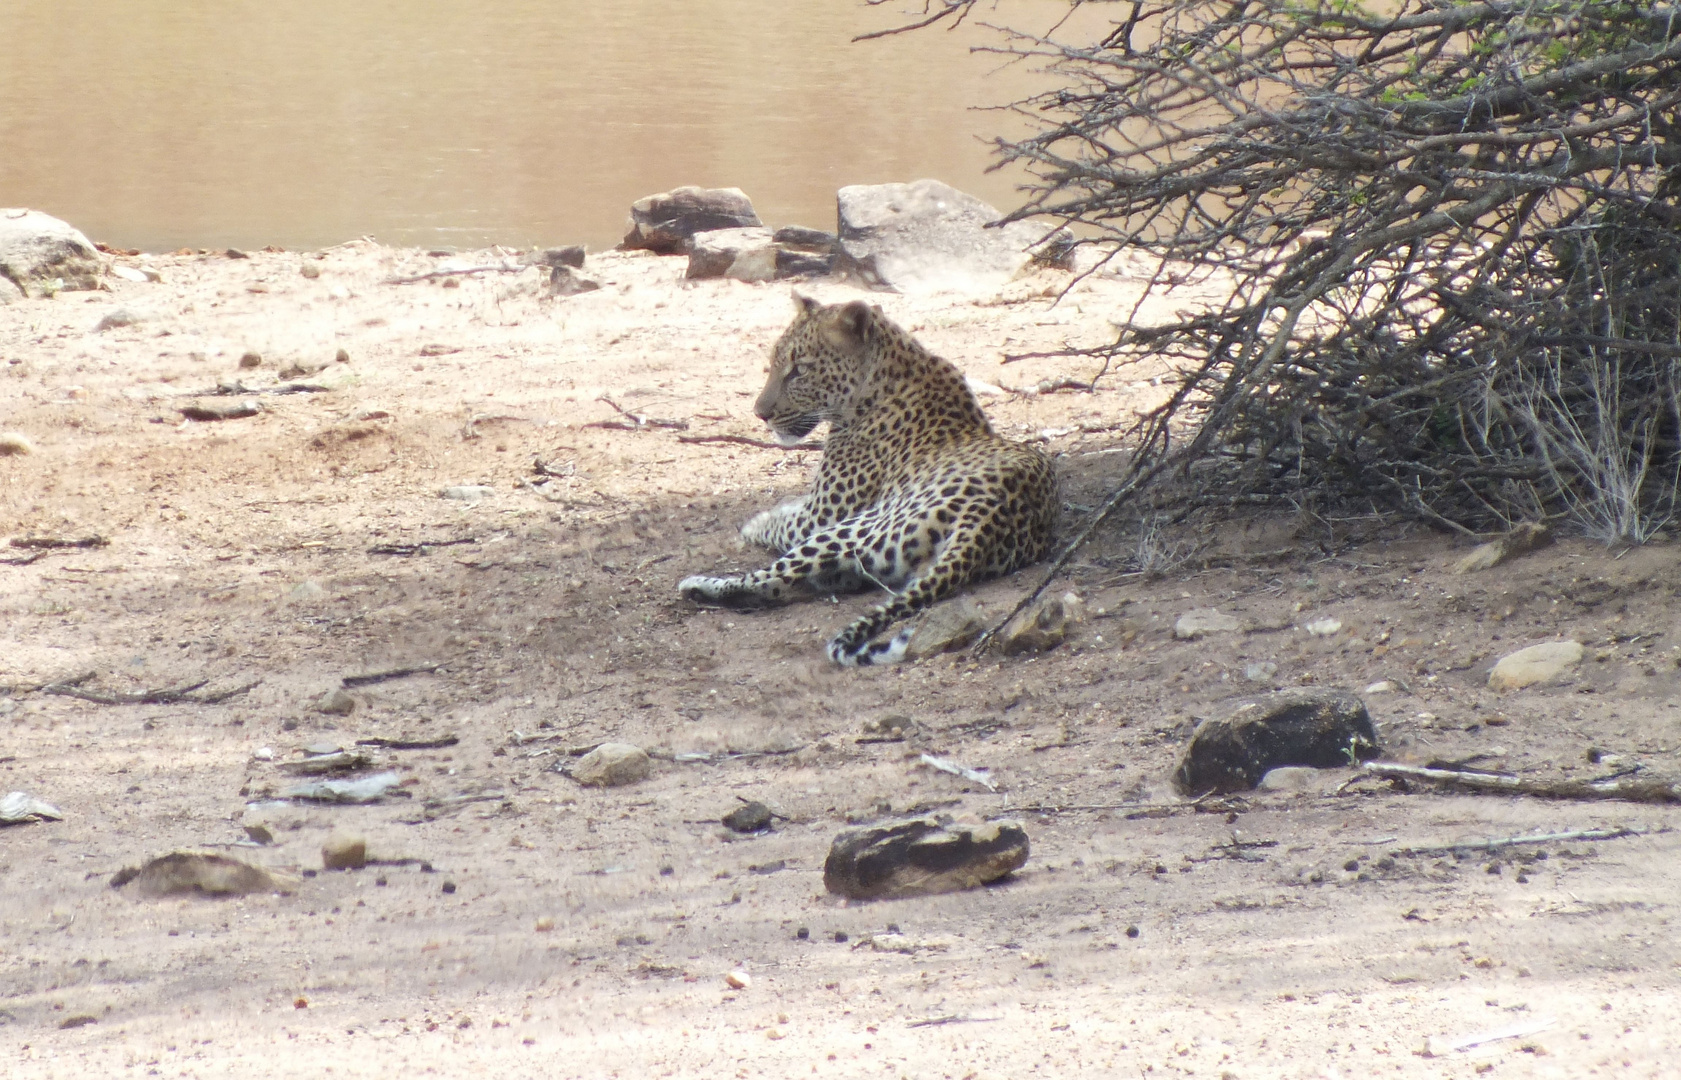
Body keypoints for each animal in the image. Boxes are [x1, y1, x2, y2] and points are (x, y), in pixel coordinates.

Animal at [679, 294, 1048, 666]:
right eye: (773, 363)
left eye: (800, 369)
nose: (760, 414)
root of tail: (986, 523)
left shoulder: (819, 515)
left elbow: (778, 523)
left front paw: (754, 523)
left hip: (849, 529)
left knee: (768, 581)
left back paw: (696, 585)